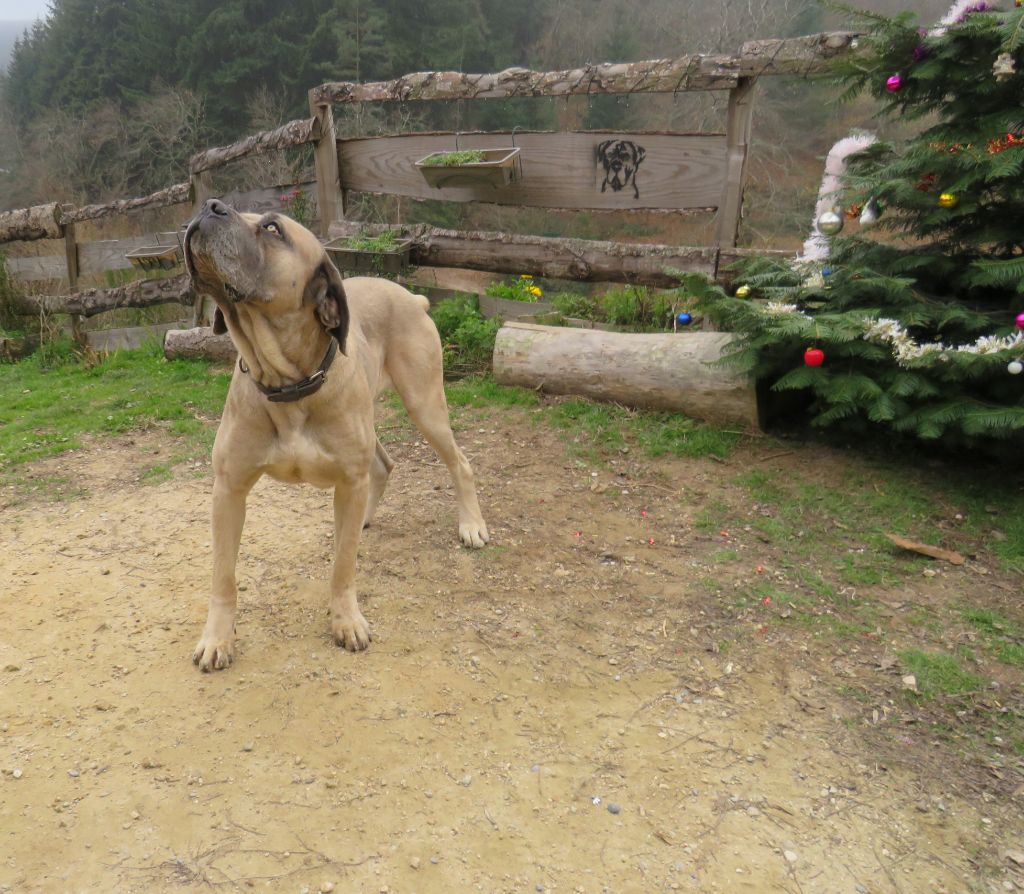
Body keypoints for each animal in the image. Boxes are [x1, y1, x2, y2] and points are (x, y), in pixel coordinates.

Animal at [183, 196, 487, 671]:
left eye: (273, 228)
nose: (211, 206)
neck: (287, 381)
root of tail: (413, 296)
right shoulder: (228, 489)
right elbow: (223, 577)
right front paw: (217, 638)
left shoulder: (347, 480)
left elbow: (343, 565)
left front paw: (346, 621)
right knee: (383, 464)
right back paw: (364, 517)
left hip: (425, 405)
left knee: (459, 462)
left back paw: (471, 525)